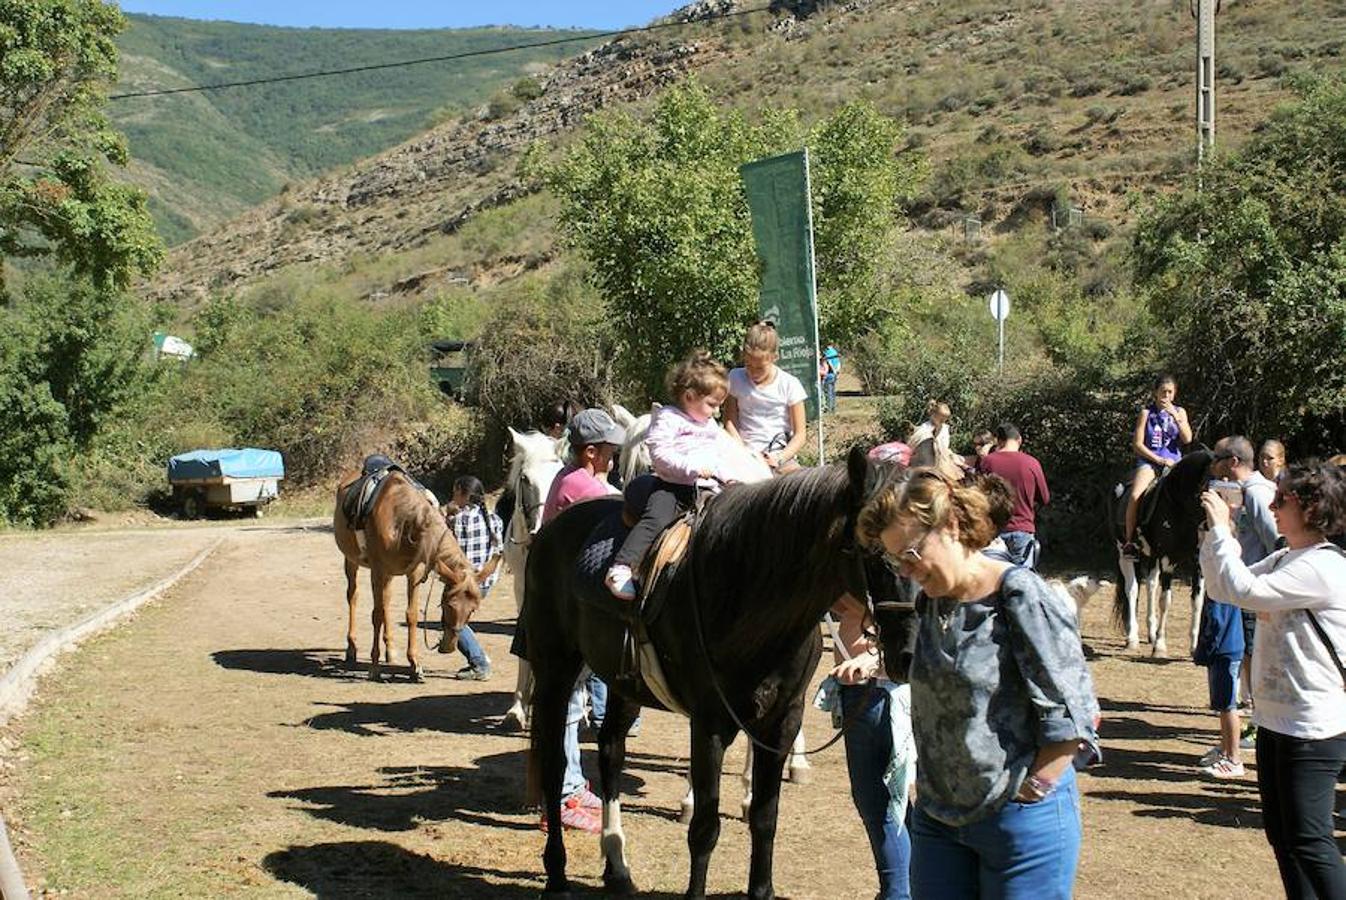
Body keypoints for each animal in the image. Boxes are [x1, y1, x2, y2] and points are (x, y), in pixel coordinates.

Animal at [333, 468, 481, 678]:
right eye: (448, 605)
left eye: (473, 609)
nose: (449, 646)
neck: (401, 522)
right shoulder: (377, 570)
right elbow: (376, 615)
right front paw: (374, 667)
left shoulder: (414, 573)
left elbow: (411, 615)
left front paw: (414, 664)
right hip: (352, 561)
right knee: (353, 596)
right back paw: (352, 649)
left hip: (389, 573)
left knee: (386, 600)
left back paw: (390, 651)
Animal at [519, 446, 877, 898]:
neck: (748, 596)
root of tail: (550, 530)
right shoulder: (710, 723)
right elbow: (705, 827)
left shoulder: (781, 720)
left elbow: (765, 817)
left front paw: (762, 888)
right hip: (555, 668)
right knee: (553, 765)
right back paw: (557, 875)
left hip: (623, 684)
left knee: (611, 750)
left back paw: (617, 864)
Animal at [1109, 446, 1216, 653]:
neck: (1179, 507)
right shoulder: (1167, 559)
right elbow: (1165, 600)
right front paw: (1160, 644)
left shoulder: (1197, 562)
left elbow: (1197, 602)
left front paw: (1194, 647)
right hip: (1124, 553)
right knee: (1132, 589)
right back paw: (1133, 638)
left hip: (1152, 556)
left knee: (1150, 585)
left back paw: (1150, 633)